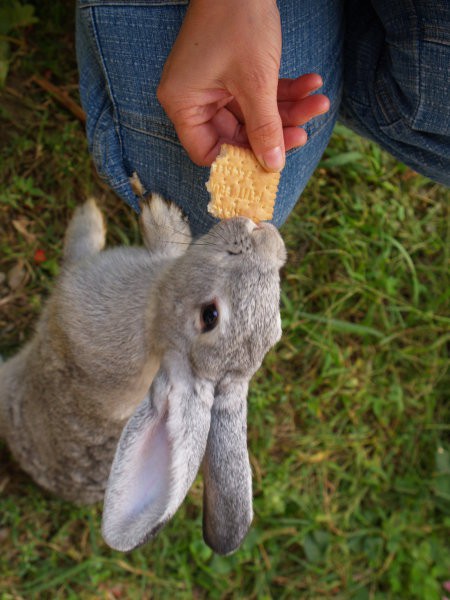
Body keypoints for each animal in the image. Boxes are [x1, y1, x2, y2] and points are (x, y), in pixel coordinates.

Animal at [0, 195, 286, 556]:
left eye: (210, 316)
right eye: (277, 332)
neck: (155, 306)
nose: (265, 238)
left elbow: (76, 252)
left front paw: (94, 217)